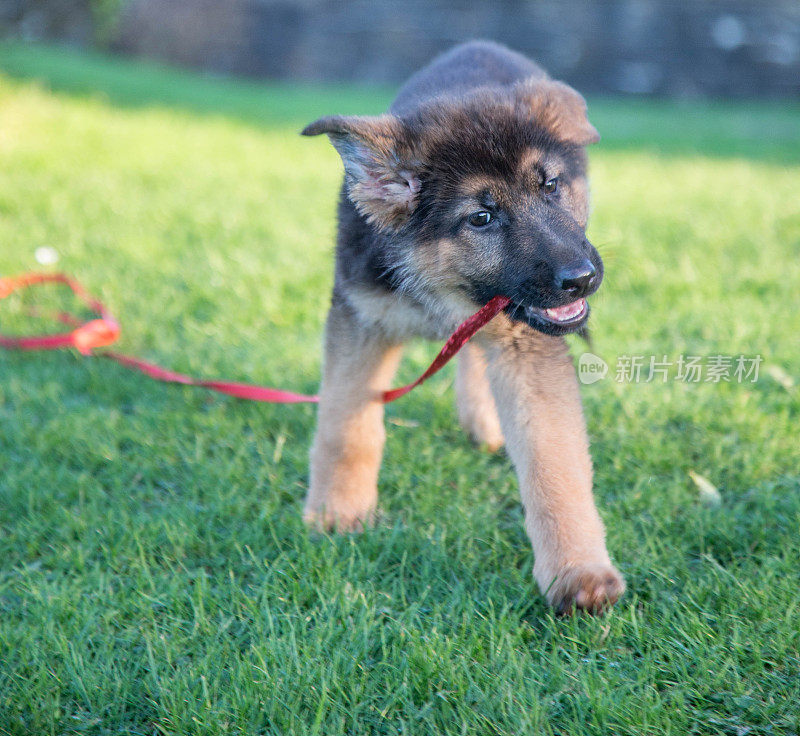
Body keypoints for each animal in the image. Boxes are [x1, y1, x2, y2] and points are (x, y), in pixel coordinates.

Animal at [304, 41, 620, 616]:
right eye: (481, 218)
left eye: (551, 186)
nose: (581, 279)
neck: (443, 289)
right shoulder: (360, 320)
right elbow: (345, 426)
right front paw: (338, 512)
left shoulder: (525, 340)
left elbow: (553, 463)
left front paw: (578, 573)